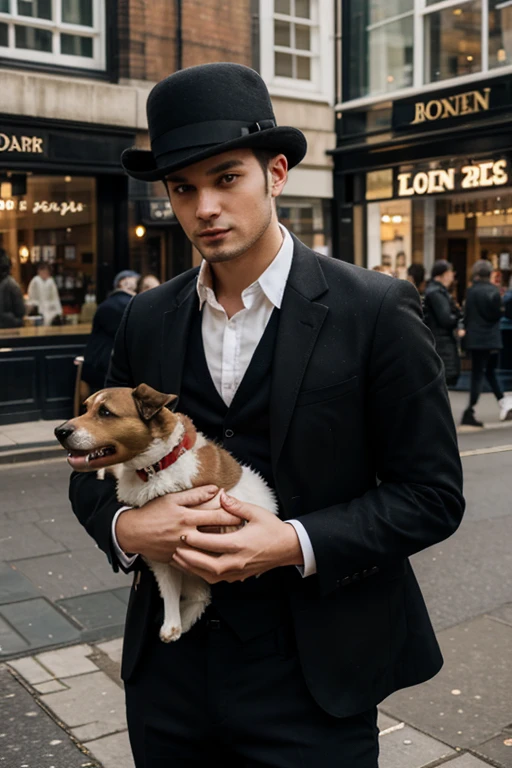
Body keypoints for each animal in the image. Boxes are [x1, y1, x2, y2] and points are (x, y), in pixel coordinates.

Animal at [54, 384, 278, 640]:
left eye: (106, 412)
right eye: (85, 408)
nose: (59, 431)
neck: (156, 466)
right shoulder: (158, 550)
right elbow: (170, 587)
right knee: (196, 595)